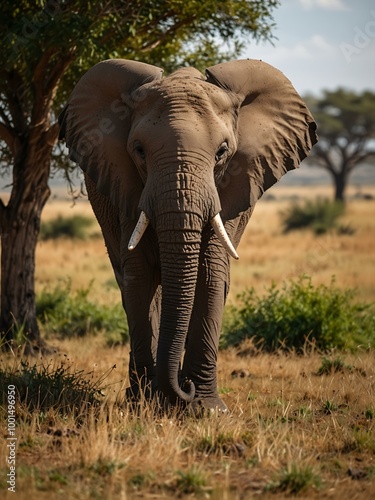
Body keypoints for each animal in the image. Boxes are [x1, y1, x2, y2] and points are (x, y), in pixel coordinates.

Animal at [58, 57, 318, 414]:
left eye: (222, 152)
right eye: (138, 150)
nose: (184, 390)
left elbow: (210, 274)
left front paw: (205, 409)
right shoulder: (127, 188)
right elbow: (139, 277)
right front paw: (148, 403)